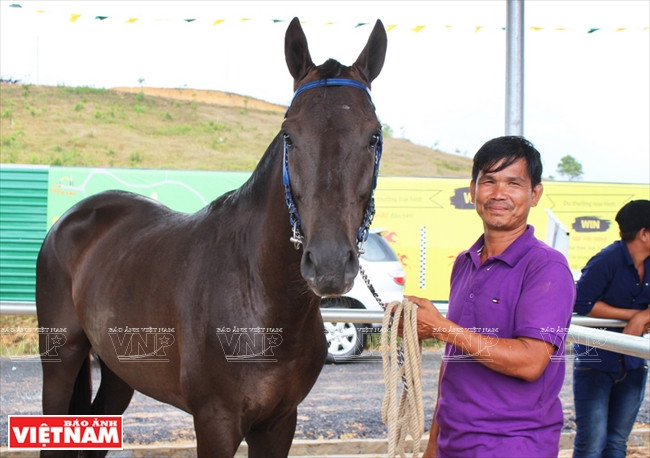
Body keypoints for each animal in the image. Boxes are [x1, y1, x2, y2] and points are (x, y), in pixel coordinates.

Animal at [36, 17, 387, 457]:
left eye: (373, 136)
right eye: (289, 135)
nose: (329, 264)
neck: (261, 295)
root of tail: (72, 217)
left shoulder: (279, 423)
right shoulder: (215, 422)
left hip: (120, 372)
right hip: (60, 361)